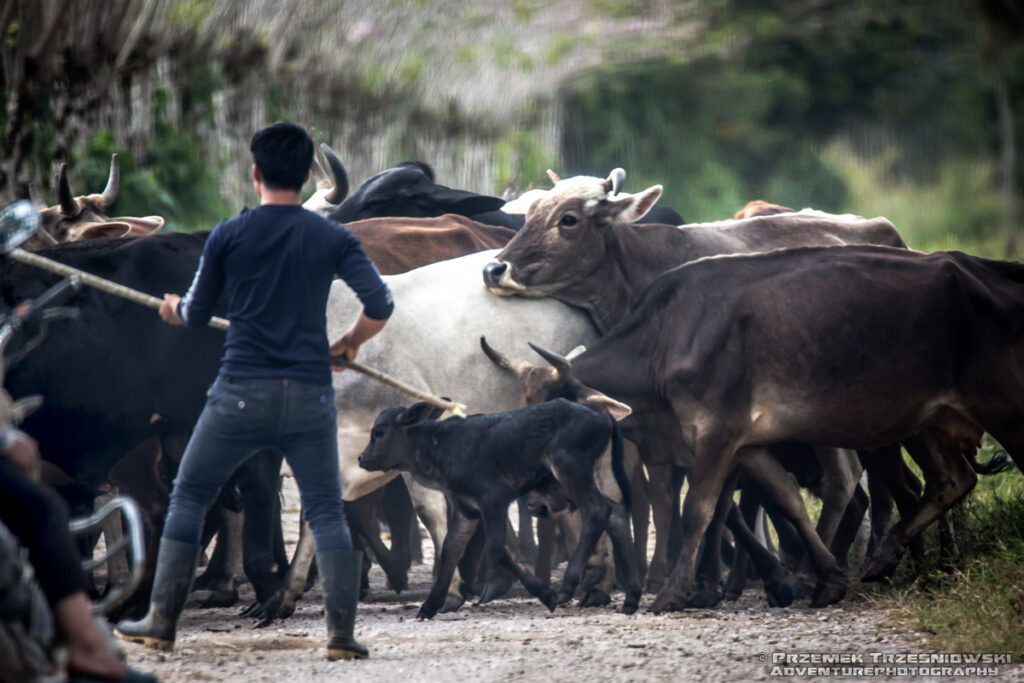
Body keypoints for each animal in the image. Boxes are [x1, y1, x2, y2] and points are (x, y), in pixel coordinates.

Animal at [356, 401, 634, 618]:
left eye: (379, 431)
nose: (361, 458)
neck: (443, 446)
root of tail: (599, 413)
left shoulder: (494, 499)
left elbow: (498, 549)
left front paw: (545, 593)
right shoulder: (468, 510)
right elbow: (450, 548)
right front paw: (430, 605)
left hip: (570, 471)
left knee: (598, 511)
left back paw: (567, 587)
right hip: (578, 478)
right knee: (616, 514)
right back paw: (632, 597)